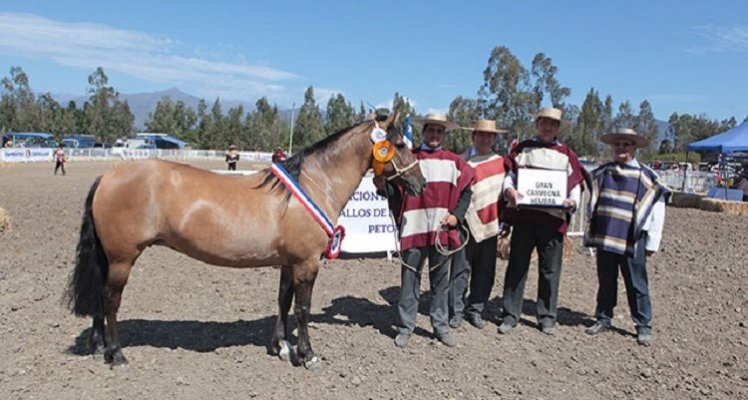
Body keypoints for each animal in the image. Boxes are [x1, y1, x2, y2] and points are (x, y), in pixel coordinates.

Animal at [62, 109, 426, 368]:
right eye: (401, 145)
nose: (420, 184)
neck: (312, 185)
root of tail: (108, 176)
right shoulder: (306, 263)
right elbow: (303, 308)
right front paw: (307, 355)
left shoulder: (288, 262)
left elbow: (283, 302)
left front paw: (280, 346)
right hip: (122, 258)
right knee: (110, 299)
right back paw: (117, 355)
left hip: (109, 258)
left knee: (100, 297)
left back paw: (99, 347)